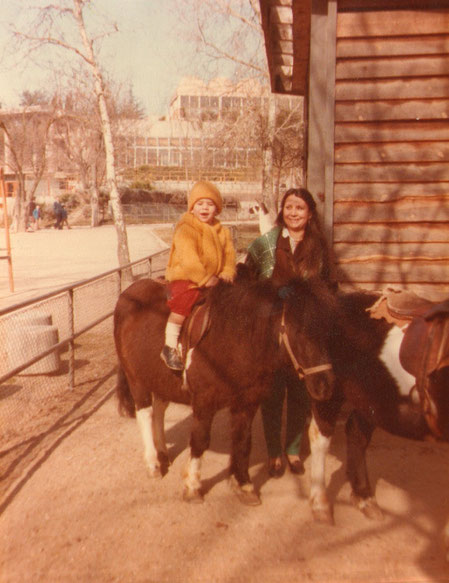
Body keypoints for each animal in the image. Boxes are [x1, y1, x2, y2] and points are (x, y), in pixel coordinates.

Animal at [114, 276, 334, 504]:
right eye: (298, 331)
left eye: (329, 331)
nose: (325, 386)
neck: (233, 340)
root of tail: (129, 292)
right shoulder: (204, 403)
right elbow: (200, 441)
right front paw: (192, 486)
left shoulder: (247, 403)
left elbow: (243, 441)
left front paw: (244, 485)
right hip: (136, 379)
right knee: (145, 414)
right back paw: (153, 464)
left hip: (159, 380)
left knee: (159, 410)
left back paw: (163, 453)